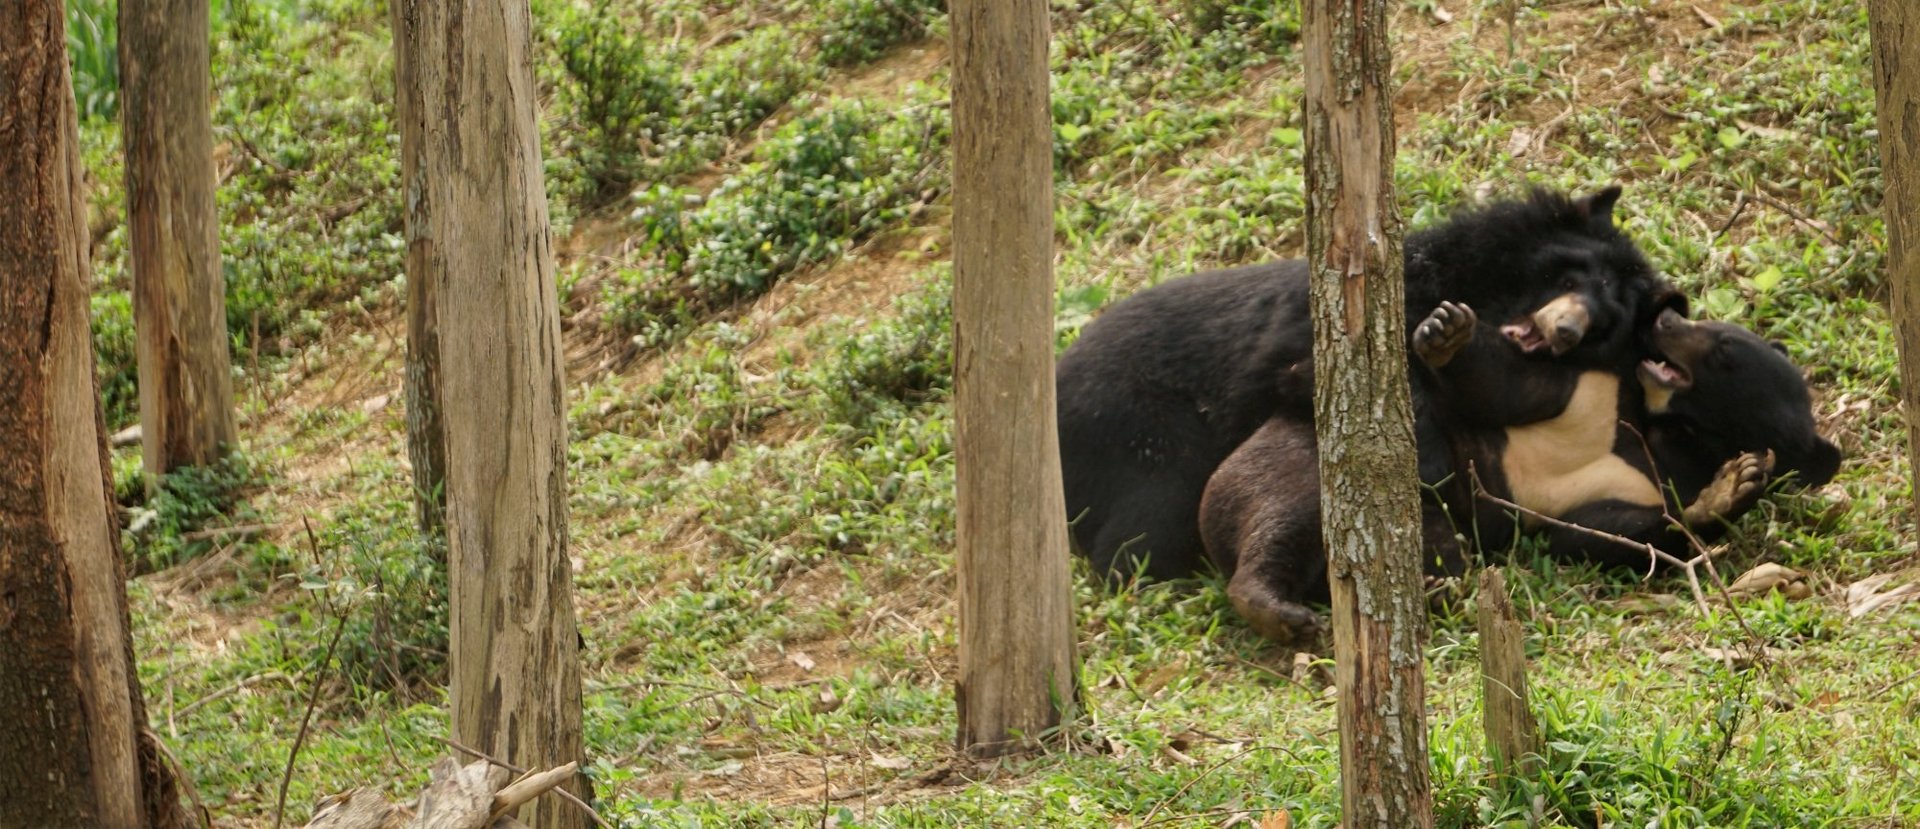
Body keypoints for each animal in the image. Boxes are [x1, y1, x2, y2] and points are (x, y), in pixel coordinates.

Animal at [1056, 187, 1674, 585]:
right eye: (1570, 278)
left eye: (1603, 324)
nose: (1565, 332)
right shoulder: (1324, 324)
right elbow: (1326, 372)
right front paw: (1428, 470)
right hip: (1138, 433)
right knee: (1143, 535)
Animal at [1198, 305, 1840, 644]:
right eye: (1705, 324)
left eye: (1724, 348)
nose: (1663, 318)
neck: (1671, 432)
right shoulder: (1594, 393)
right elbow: (1509, 387)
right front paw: (1444, 331)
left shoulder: (1633, 482)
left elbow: (1597, 533)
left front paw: (1734, 484)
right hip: (1290, 465)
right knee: (1279, 522)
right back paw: (1282, 612)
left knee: (1434, 551)